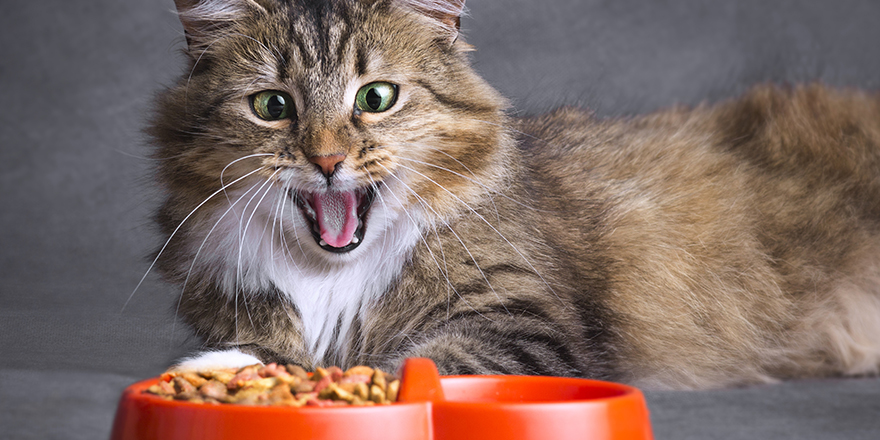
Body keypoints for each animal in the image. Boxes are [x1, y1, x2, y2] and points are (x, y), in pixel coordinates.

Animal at [148, 0, 880, 390]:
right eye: (273, 107)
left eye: (376, 99)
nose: (327, 160)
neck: (330, 275)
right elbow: (268, 348)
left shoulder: (525, 327)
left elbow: (407, 364)